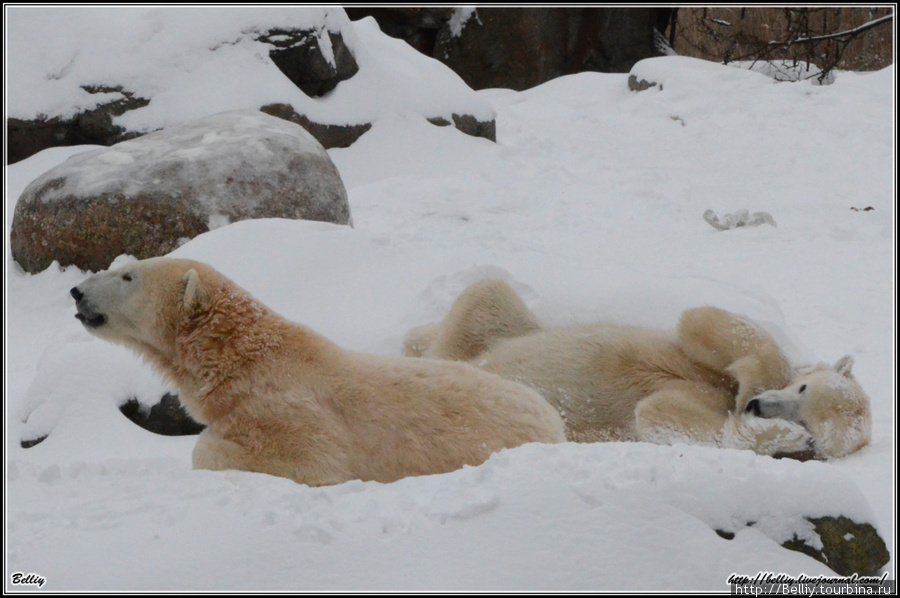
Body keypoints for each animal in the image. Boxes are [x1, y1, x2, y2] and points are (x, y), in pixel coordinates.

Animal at [72, 260, 564, 490]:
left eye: (127, 275)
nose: (76, 291)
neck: (246, 361)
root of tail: (554, 422)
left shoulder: (292, 411)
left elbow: (307, 458)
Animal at [404, 280, 868, 460]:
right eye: (803, 389)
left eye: (812, 427)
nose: (757, 406)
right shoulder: (700, 354)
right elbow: (705, 321)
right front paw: (750, 385)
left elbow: (663, 416)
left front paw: (781, 435)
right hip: (495, 328)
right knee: (487, 297)